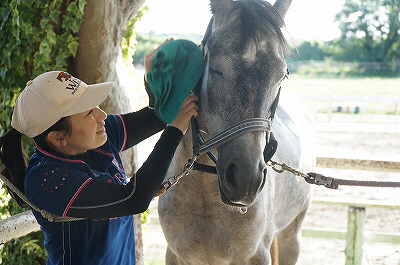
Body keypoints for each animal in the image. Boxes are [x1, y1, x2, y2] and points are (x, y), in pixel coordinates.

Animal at [158, 1, 314, 262]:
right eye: (216, 69)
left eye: (281, 76)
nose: (246, 181)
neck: (205, 197)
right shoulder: (176, 256)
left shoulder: (256, 256)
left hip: (292, 236)